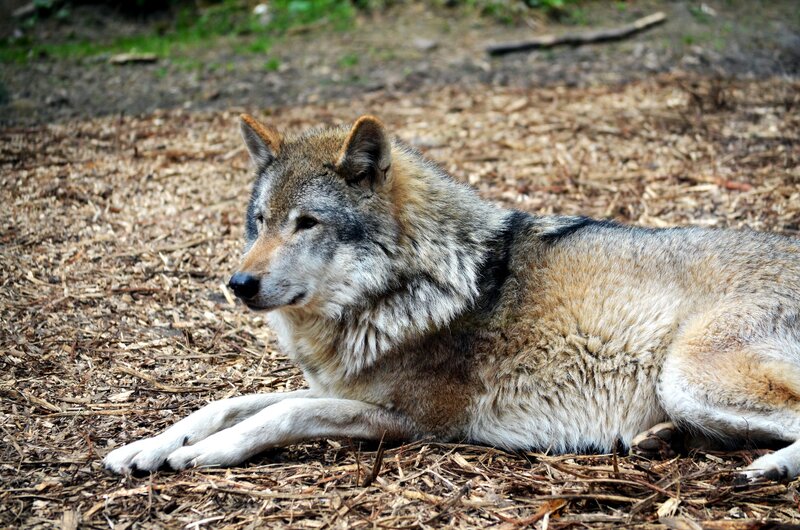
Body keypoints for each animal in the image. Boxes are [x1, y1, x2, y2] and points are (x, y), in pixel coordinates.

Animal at [104, 114, 800, 481]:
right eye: (259, 222)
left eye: (306, 224)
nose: (239, 285)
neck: (406, 286)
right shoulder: (342, 387)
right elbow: (228, 402)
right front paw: (146, 447)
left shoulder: (413, 421)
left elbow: (279, 416)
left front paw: (204, 453)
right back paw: (661, 440)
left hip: (687, 375)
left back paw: (769, 467)